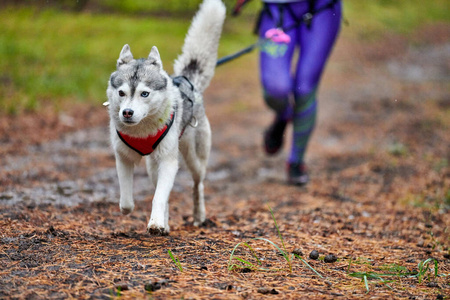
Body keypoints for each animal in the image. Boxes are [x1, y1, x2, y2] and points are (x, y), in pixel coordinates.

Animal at [105, 0, 225, 234]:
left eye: (144, 93)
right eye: (122, 93)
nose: (127, 112)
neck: (142, 131)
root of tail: (187, 81)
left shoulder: (169, 162)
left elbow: (159, 197)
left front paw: (155, 223)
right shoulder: (122, 157)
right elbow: (126, 201)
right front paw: (150, 218)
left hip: (193, 158)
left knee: (197, 185)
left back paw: (198, 215)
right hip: (153, 166)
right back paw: (166, 223)